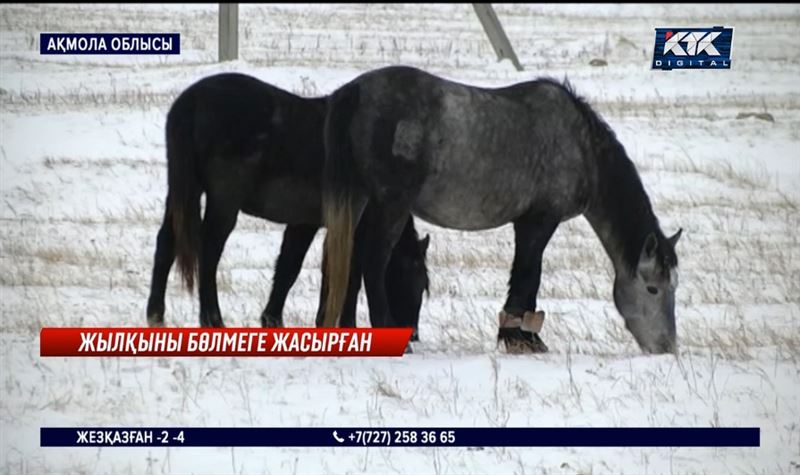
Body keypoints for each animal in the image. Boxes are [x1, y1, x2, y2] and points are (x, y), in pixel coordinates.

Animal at [144, 72, 432, 336]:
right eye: (413, 276)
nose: (413, 334)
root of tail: (191, 101)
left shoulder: (304, 222)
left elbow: (288, 267)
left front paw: (273, 320)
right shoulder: (333, 226)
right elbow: (343, 273)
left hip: (182, 191)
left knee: (166, 243)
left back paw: (156, 316)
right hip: (223, 203)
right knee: (209, 252)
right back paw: (212, 320)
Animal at [322, 66, 684, 354]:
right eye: (653, 288)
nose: (667, 346)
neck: (580, 145)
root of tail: (355, 91)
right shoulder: (539, 221)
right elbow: (527, 275)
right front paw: (522, 338)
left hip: (362, 204)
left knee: (351, 263)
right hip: (390, 206)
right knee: (373, 262)